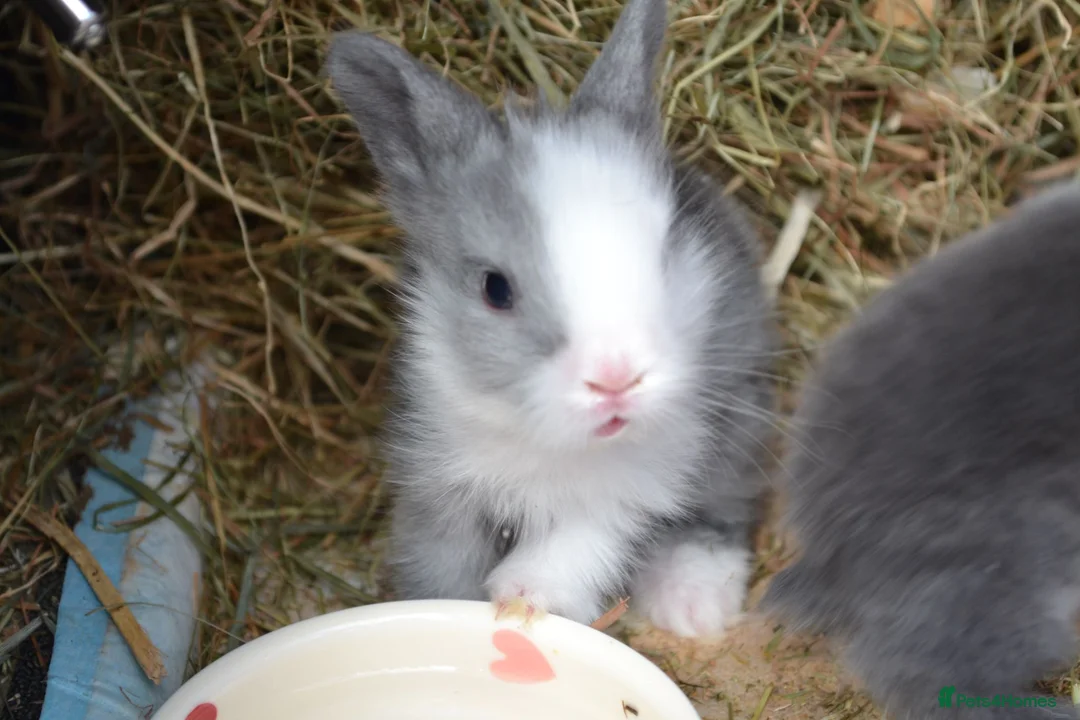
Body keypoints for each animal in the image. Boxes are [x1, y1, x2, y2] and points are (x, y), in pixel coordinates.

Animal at [324, 0, 777, 637]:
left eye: (663, 257)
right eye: (495, 289)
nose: (615, 379)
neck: (547, 439)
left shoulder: (634, 484)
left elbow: (573, 547)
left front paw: (522, 599)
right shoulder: (436, 483)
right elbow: (441, 562)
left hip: (741, 421)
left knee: (722, 512)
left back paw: (690, 606)